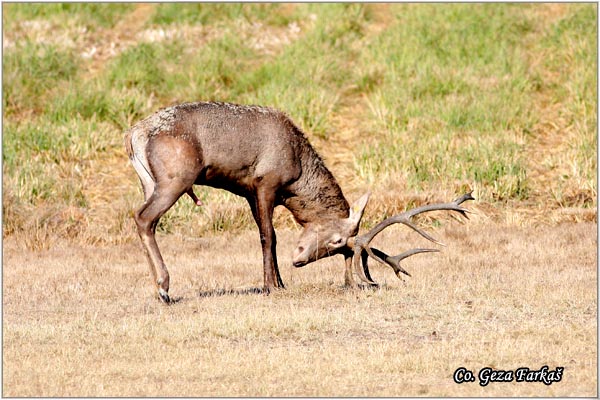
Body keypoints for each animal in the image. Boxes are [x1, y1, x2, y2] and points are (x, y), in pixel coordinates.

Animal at [124, 101, 472, 302]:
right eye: (337, 242)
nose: (301, 260)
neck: (297, 175)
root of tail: (134, 134)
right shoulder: (265, 182)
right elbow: (269, 236)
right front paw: (270, 286)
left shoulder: (249, 191)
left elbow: (271, 236)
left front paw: (278, 281)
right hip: (176, 178)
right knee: (144, 217)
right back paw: (164, 287)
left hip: (148, 181)